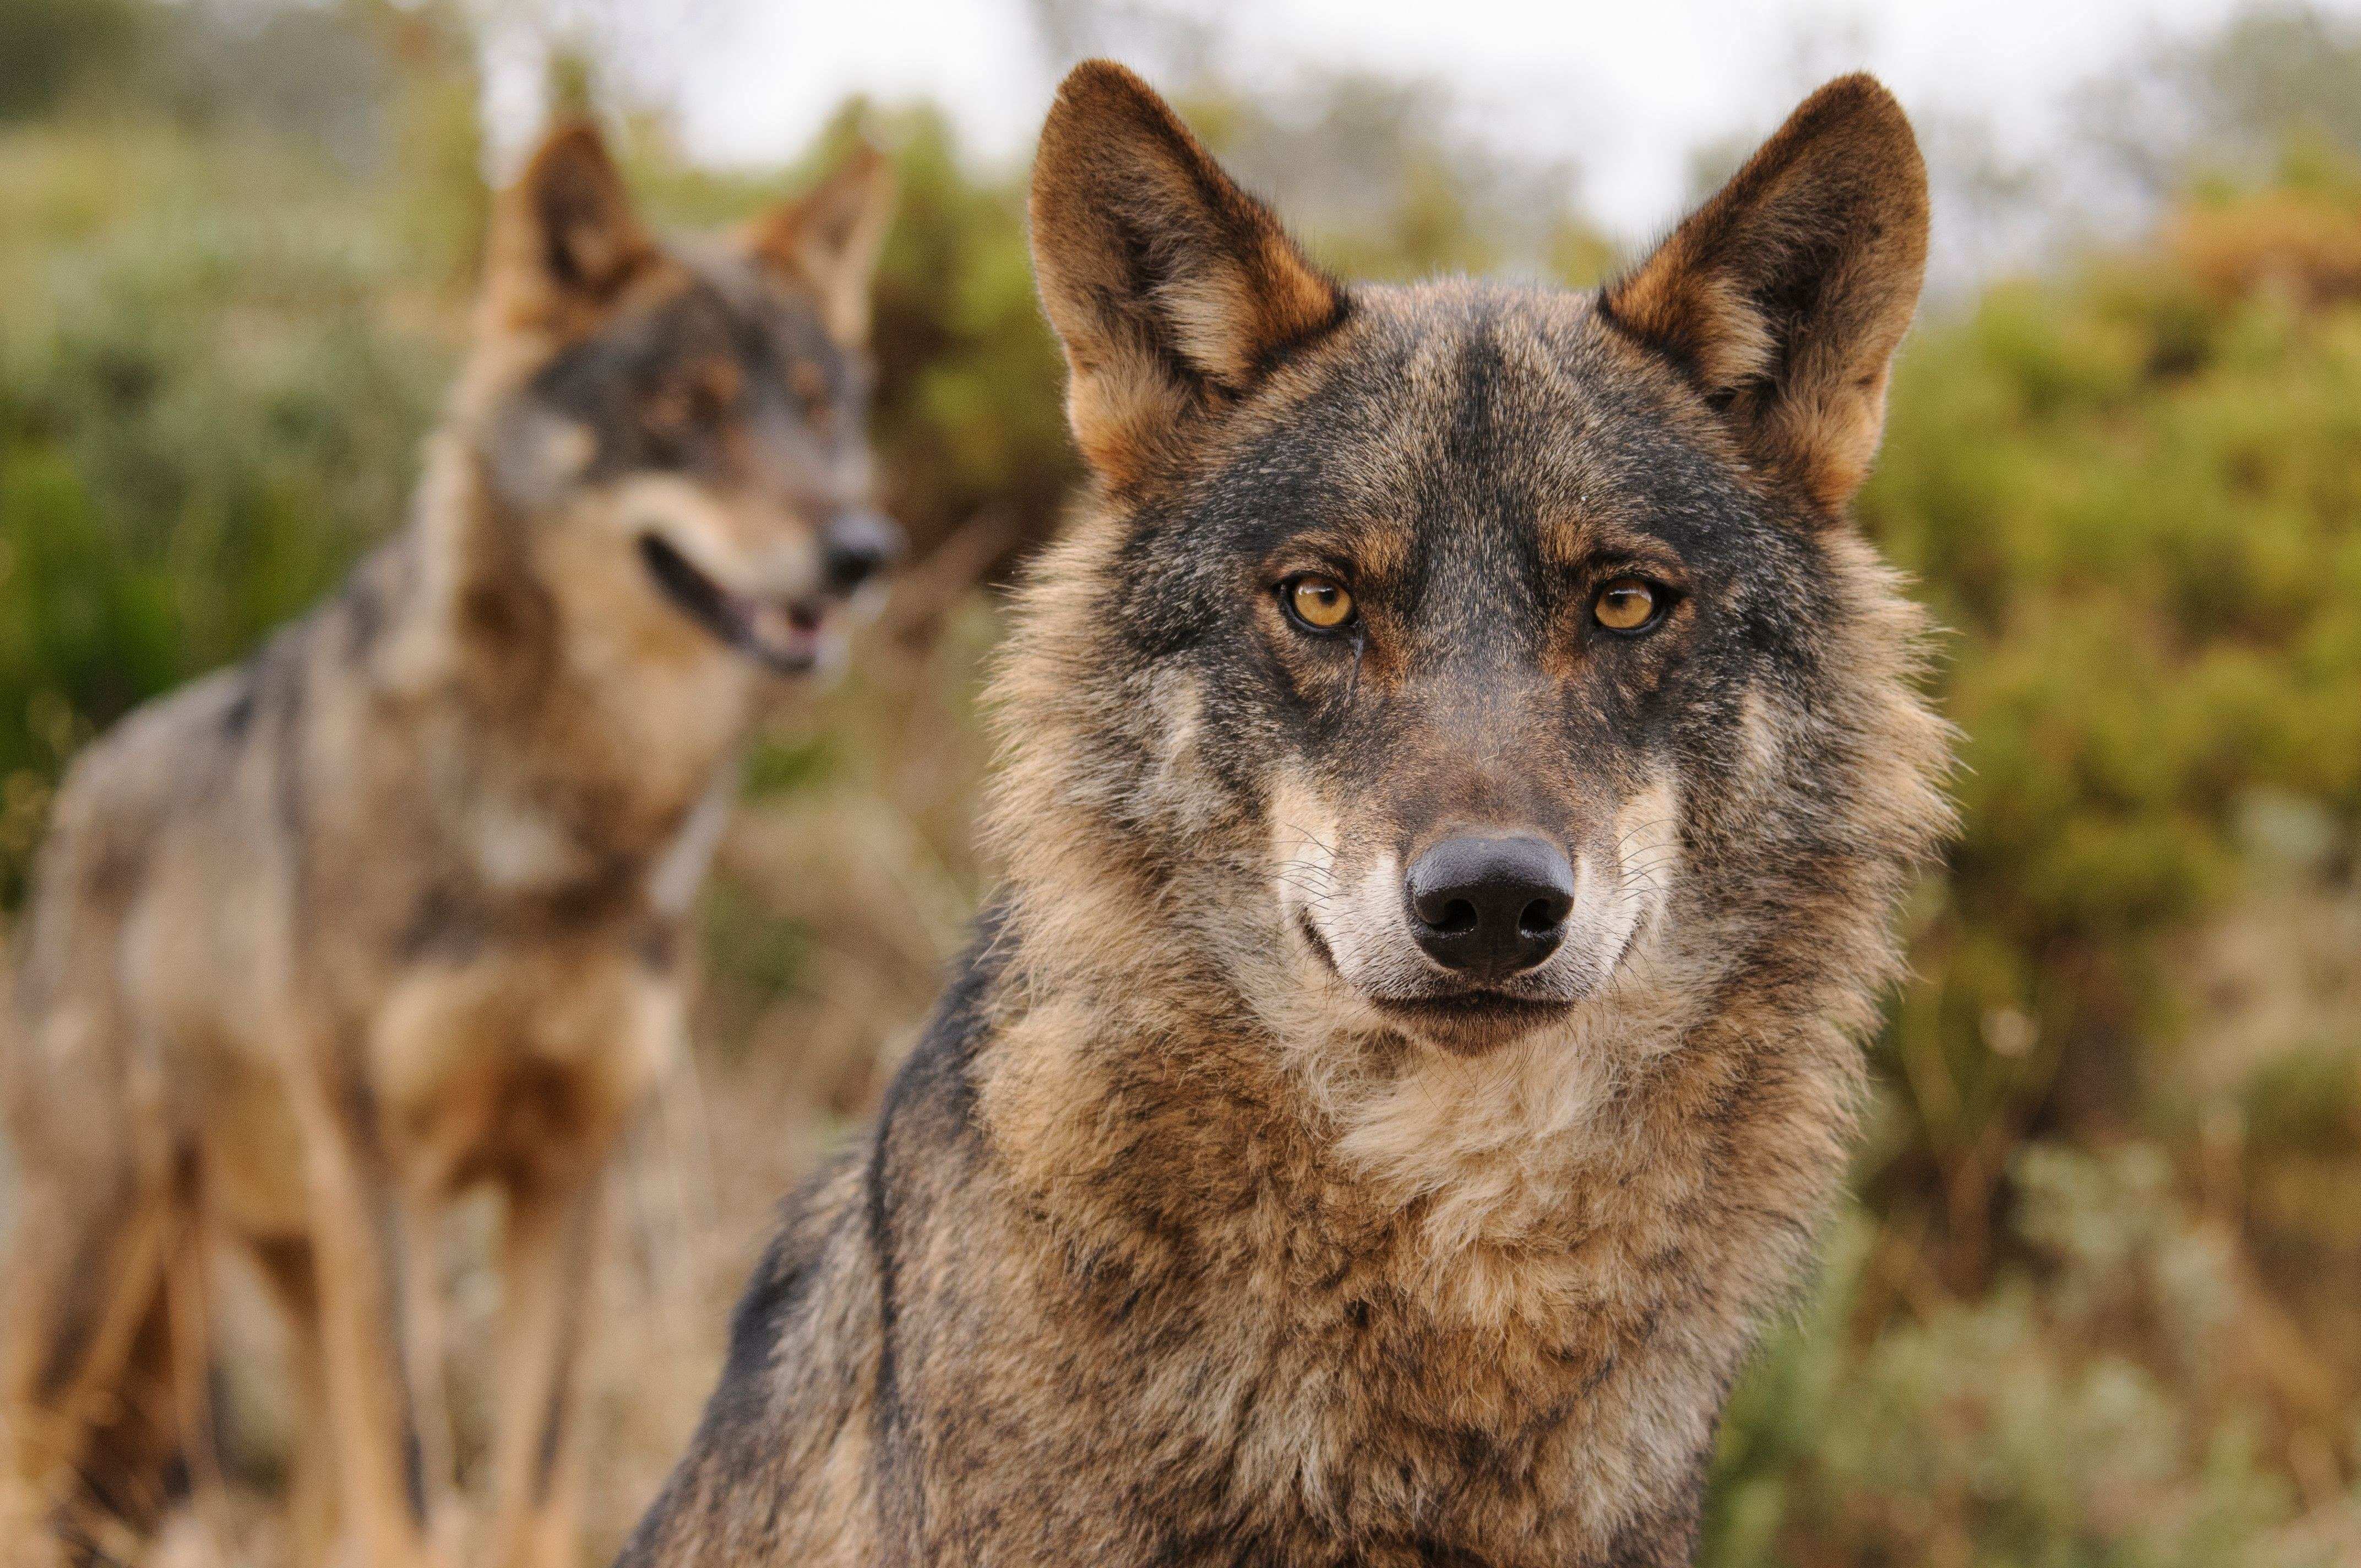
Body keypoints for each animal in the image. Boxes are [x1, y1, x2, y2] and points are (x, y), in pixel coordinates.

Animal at [0, 116, 897, 1558]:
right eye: (684, 410)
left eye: (817, 410)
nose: (862, 550)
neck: (561, 825)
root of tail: (82, 783)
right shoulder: (388, 1177)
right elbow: (417, 1484)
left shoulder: (566, 1176)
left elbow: (529, 1476)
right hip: (104, 1265)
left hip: (285, 1276)